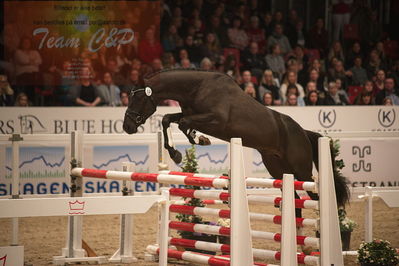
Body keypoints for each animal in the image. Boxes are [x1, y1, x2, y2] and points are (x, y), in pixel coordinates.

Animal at [122, 68, 350, 210]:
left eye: (138, 98)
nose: (127, 127)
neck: (197, 88)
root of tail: (303, 132)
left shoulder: (216, 120)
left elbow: (184, 124)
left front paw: (194, 142)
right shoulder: (190, 114)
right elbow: (169, 119)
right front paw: (180, 149)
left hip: (301, 171)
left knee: (316, 195)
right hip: (277, 168)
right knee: (294, 201)